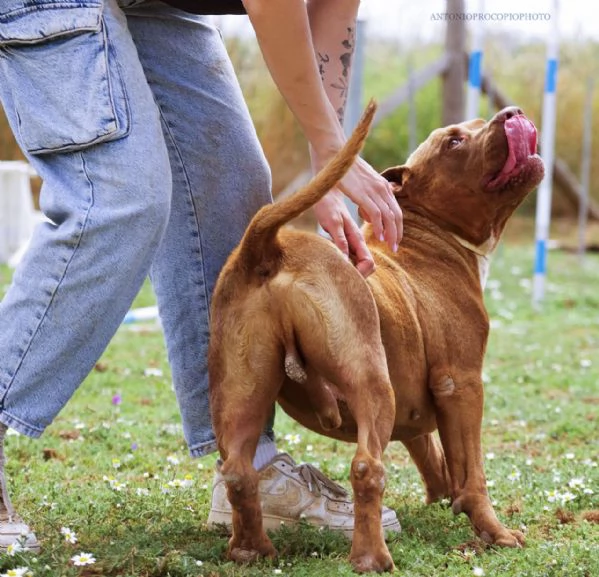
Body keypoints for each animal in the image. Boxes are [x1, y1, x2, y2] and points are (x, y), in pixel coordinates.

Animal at [209, 102, 548, 572]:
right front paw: (495, 532)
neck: (429, 236)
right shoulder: (462, 385)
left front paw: (445, 499)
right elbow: (473, 473)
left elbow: (437, 460)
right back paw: (371, 557)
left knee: (240, 472)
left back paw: (251, 549)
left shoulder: (416, 410)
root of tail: (270, 247)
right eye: (454, 141)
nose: (512, 112)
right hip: (370, 381)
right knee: (367, 468)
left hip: (242, 390)